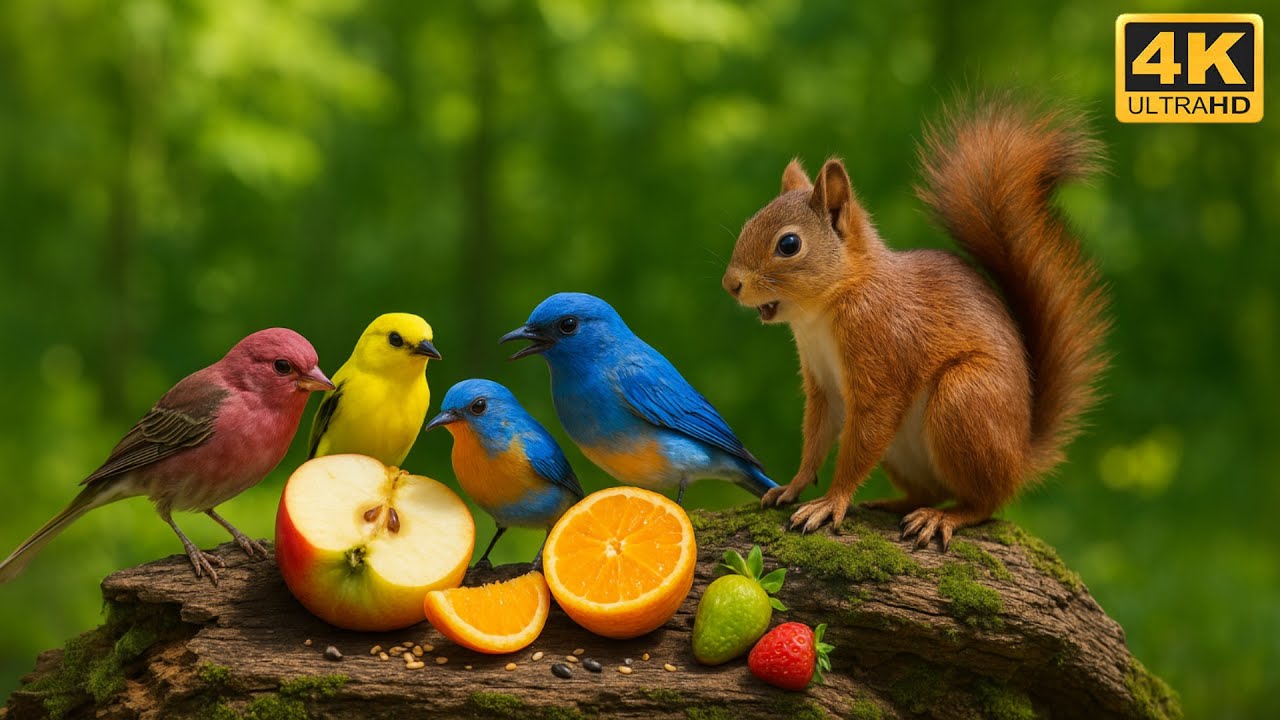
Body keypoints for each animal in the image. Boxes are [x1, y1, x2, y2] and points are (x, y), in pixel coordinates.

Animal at [721, 97, 1109, 549]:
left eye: (788, 244)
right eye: (749, 223)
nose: (731, 284)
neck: (828, 308)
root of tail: (1020, 458)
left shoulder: (884, 356)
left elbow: (861, 439)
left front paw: (830, 502)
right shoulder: (822, 385)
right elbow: (816, 437)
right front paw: (793, 485)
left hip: (965, 400)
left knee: (983, 502)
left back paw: (944, 517)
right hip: (905, 449)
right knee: (931, 491)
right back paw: (895, 504)